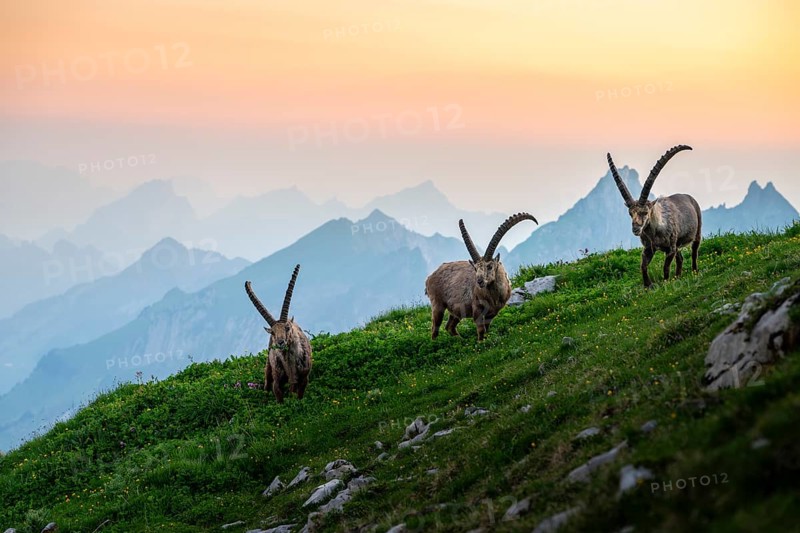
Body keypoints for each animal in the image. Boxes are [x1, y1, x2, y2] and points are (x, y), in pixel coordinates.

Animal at [245, 264, 312, 402]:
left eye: (287, 327)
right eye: (272, 332)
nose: (280, 342)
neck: (290, 366)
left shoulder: (304, 378)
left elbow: (299, 395)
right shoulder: (277, 381)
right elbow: (278, 394)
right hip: (268, 366)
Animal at [607, 145, 703, 289]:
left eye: (645, 212)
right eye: (630, 213)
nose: (636, 229)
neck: (655, 233)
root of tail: (689, 197)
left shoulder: (670, 248)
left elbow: (665, 267)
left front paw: (666, 282)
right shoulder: (648, 249)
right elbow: (643, 266)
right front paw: (648, 285)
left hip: (697, 231)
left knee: (694, 252)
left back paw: (694, 271)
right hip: (678, 244)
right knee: (680, 258)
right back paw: (678, 276)